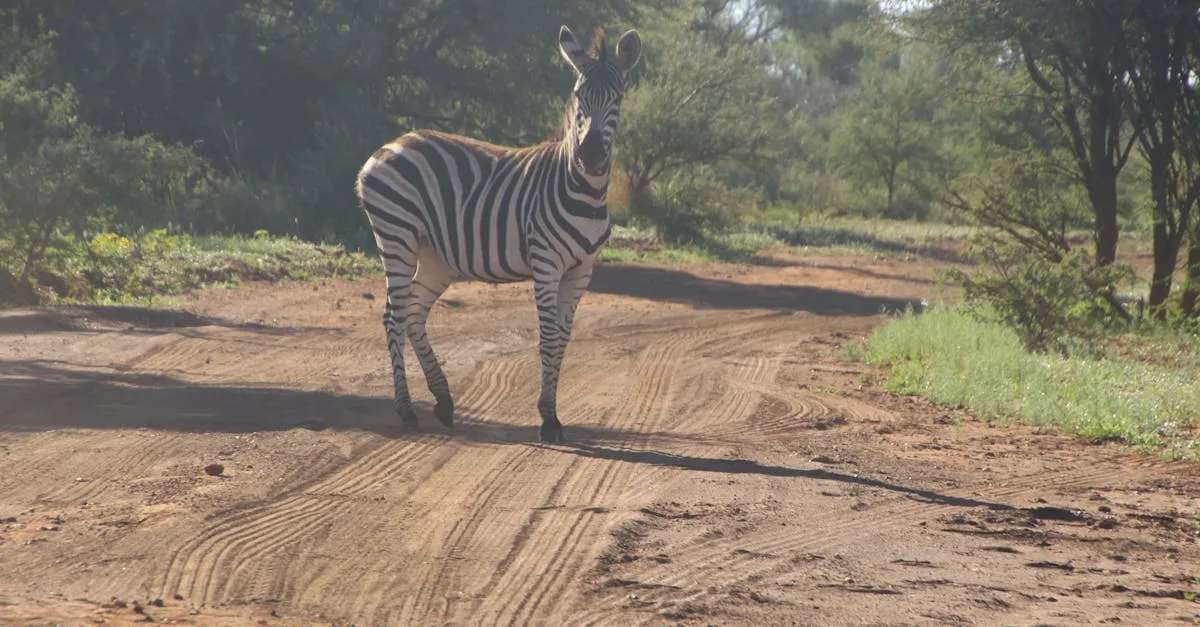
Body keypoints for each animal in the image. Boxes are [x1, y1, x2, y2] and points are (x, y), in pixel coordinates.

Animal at [352, 26, 643, 442]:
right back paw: (406, 409)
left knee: (413, 314)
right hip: (397, 235)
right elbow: (548, 338)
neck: (583, 191)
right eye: (578, 96)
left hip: (435, 257)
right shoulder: (546, 263)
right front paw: (548, 419)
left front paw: (552, 413)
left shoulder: (582, 270)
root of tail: (391, 144)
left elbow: (563, 340)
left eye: (617, 98)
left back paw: (443, 400)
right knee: (395, 316)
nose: (589, 156)